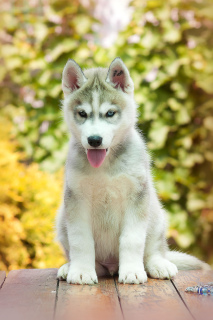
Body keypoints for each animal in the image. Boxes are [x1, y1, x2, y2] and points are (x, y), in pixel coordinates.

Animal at [56, 58, 210, 284]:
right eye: (82, 113)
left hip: (155, 214)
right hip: (61, 219)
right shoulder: (76, 198)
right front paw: (82, 271)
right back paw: (70, 267)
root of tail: (112, 266)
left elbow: (132, 239)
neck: (106, 165)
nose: (94, 140)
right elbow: (80, 240)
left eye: (110, 113)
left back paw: (158, 265)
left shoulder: (136, 195)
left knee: (153, 251)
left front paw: (132, 271)